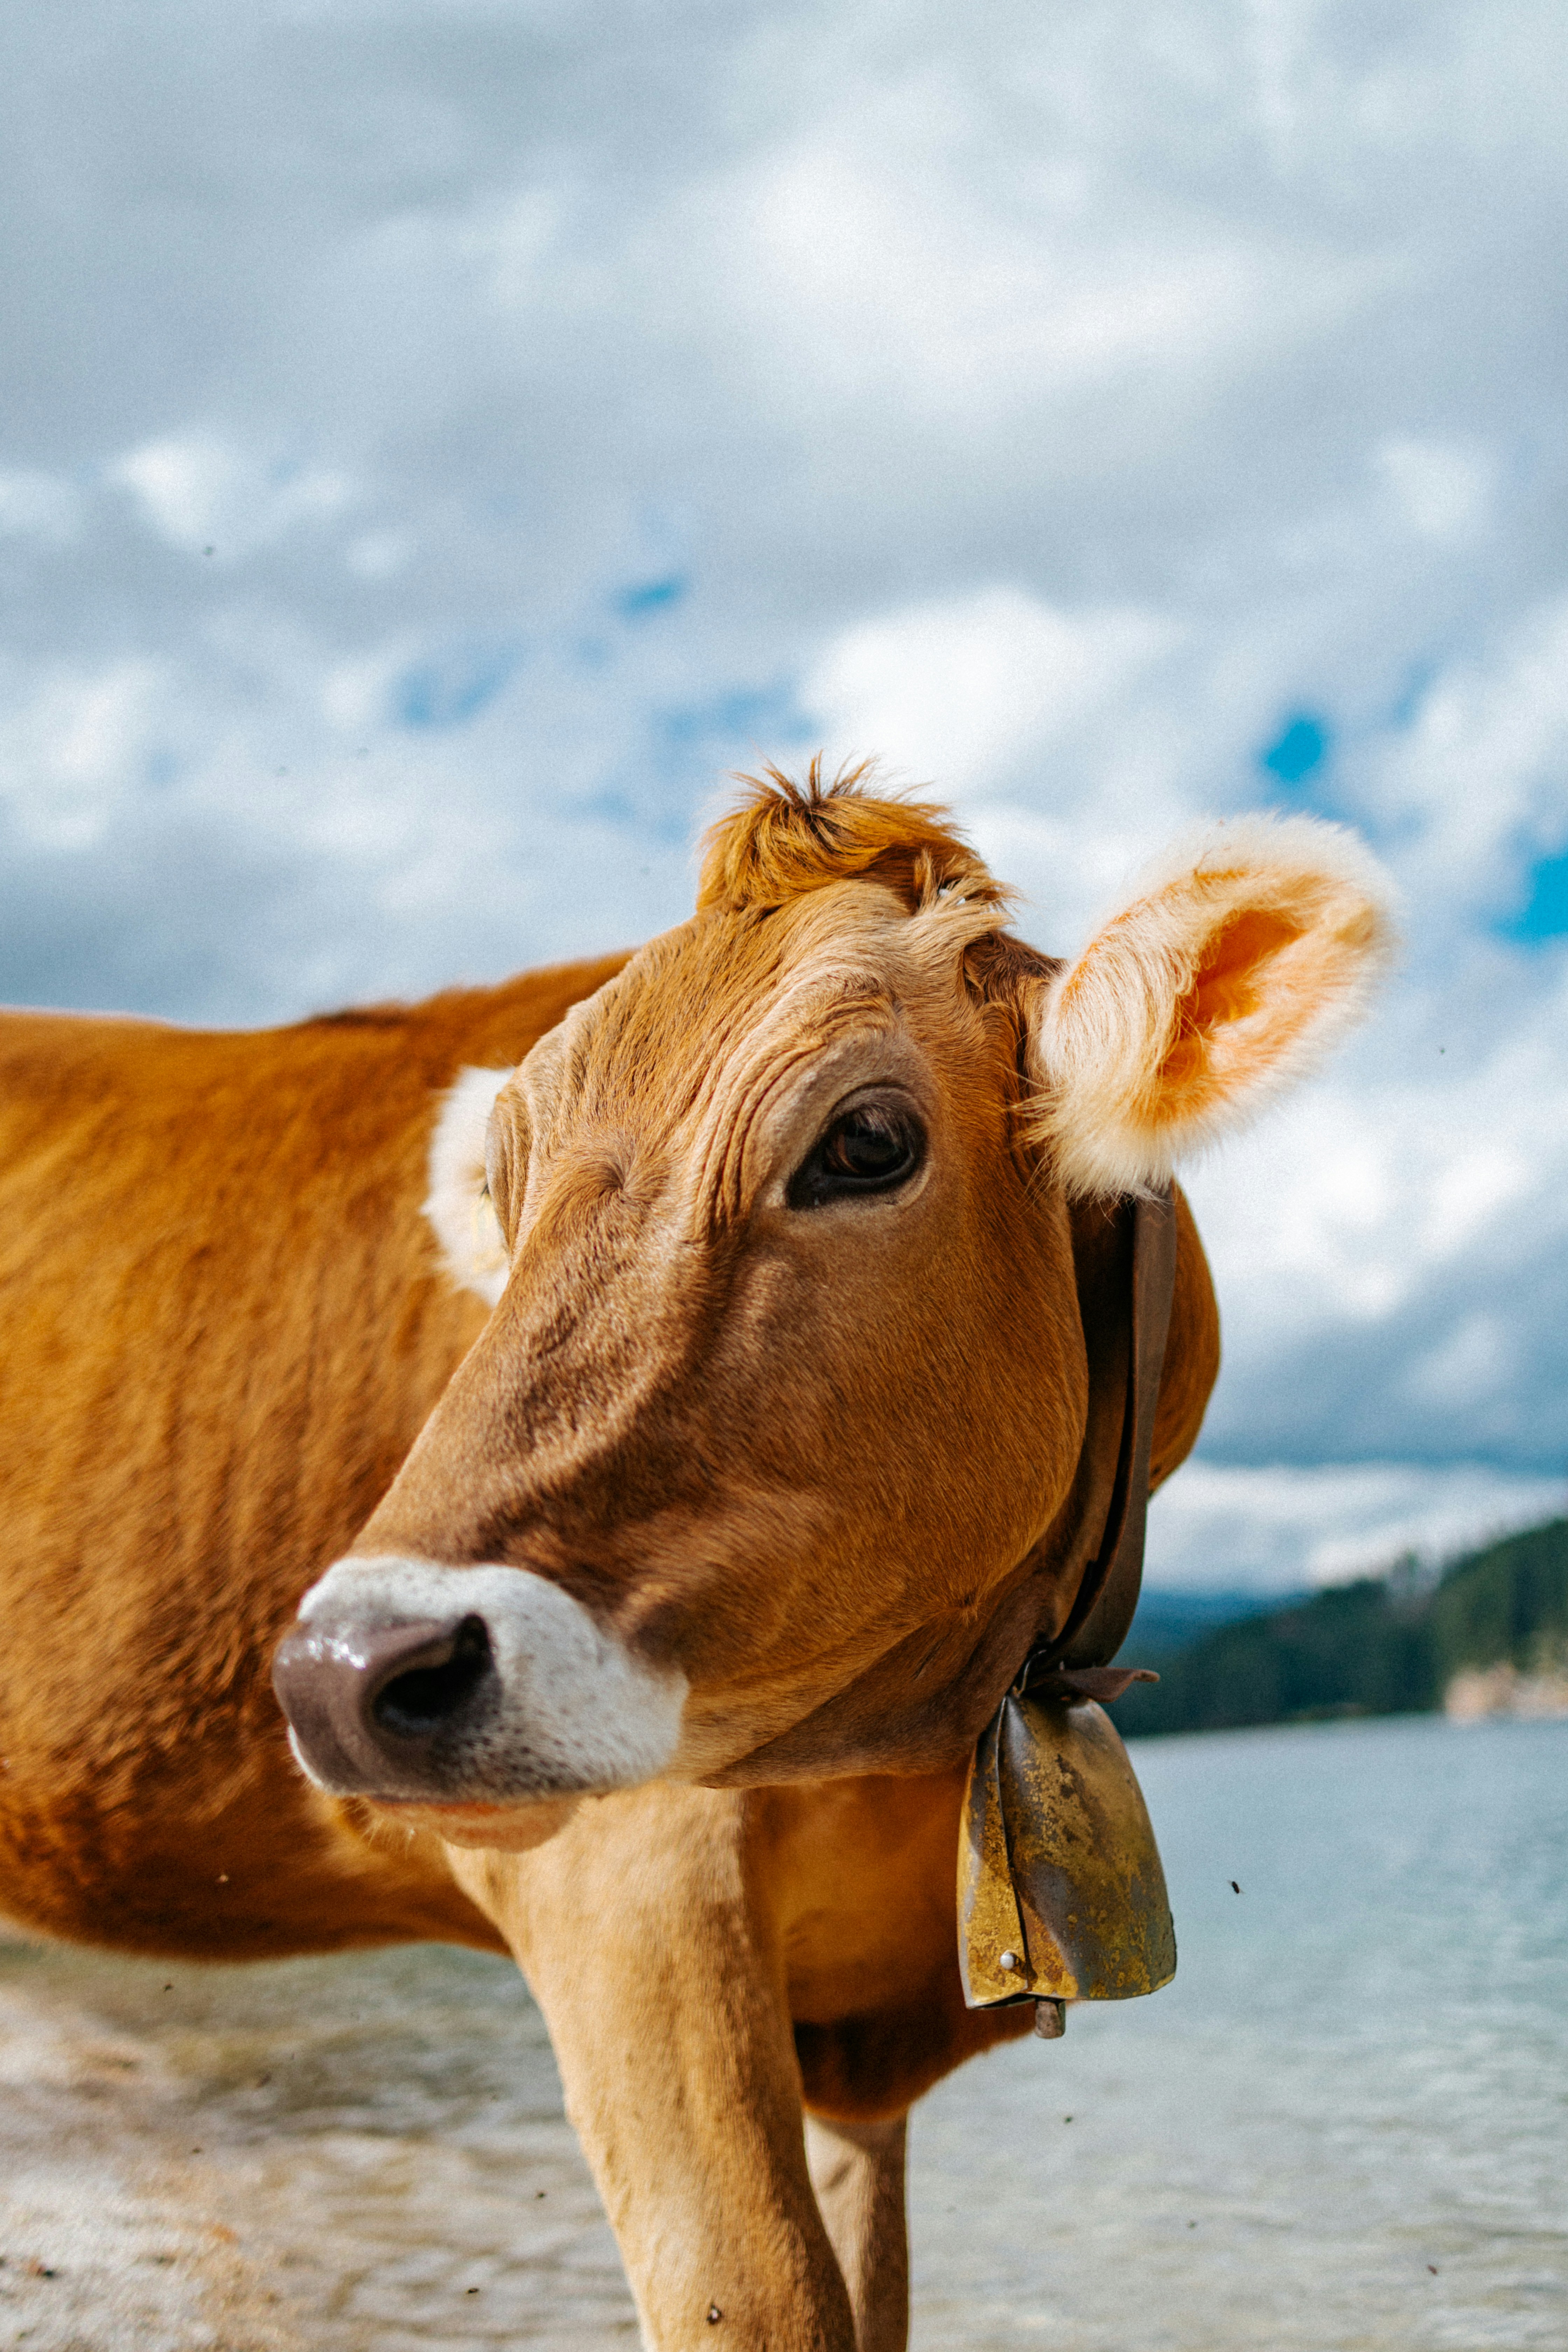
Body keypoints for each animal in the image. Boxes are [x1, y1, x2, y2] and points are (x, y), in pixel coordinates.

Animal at [0, 769, 1389, 2351]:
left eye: (866, 1142)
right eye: (504, 1194)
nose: (348, 1674)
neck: (904, 1756)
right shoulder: (630, 1890)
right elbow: (767, 2295)